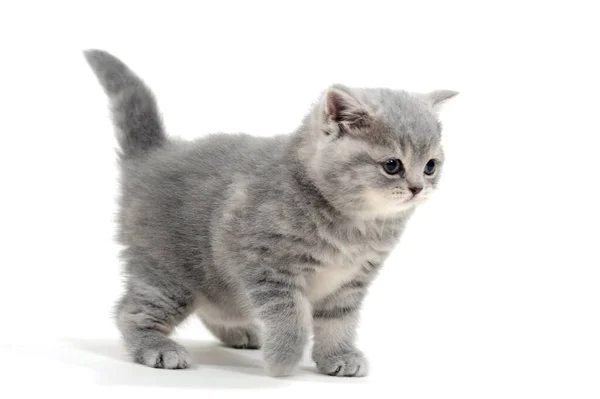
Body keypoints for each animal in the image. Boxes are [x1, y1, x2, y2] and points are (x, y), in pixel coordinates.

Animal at [83, 49, 460, 378]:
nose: (417, 188)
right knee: (129, 312)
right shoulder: (265, 264)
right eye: (392, 165)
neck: (356, 225)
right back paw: (158, 348)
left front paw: (337, 356)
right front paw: (283, 360)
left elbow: (339, 321)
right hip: (168, 274)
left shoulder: (350, 282)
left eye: (430, 166)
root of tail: (155, 155)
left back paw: (241, 332)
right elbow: (291, 317)